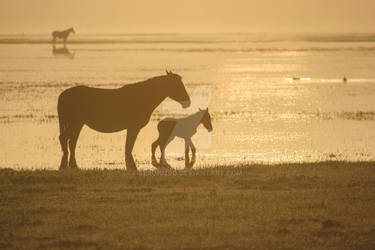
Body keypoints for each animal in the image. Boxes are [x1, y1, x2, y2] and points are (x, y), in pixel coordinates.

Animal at [58, 71, 191, 171]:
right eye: (176, 85)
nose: (187, 101)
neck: (144, 97)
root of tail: (63, 95)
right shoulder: (133, 127)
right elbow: (129, 146)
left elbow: (128, 147)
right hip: (75, 123)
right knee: (64, 138)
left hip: (78, 124)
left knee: (72, 141)